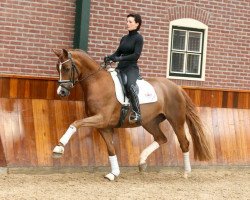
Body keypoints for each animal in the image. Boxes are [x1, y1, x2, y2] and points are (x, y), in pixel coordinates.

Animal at [52, 48, 213, 181]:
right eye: (57, 67)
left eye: (66, 68)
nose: (61, 92)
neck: (97, 82)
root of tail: (177, 87)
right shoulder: (103, 125)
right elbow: (111, 149)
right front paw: (113, 173)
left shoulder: (101, 119)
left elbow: (75, 123)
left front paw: (59, 148)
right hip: (150, 122)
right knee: (161, 138)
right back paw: (141, 162)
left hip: (176, 120)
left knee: (184, 143)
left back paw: (186, 172)